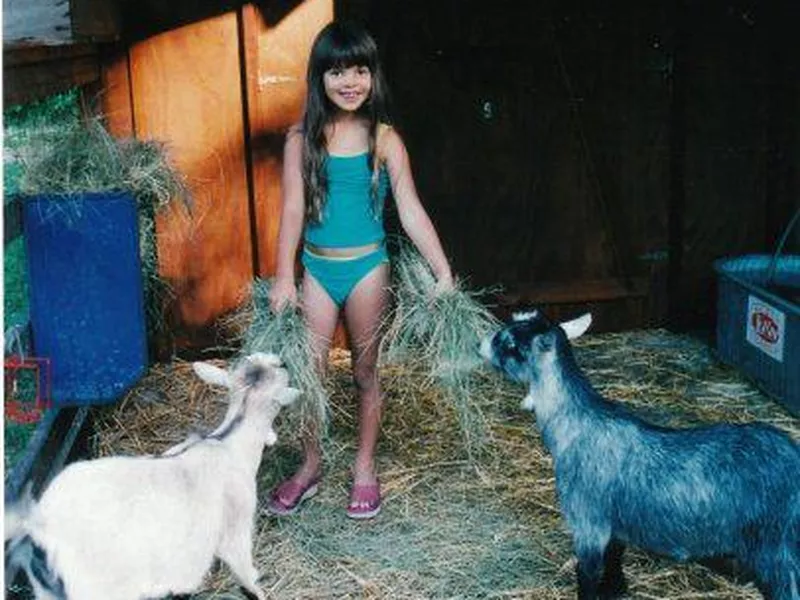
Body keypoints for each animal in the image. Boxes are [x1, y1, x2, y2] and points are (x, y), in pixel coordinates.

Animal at [482, 310, 800, 600]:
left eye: (510, 342)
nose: (482, 344)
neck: (574, 425)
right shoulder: (615, 526)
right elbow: (614, 560)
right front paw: (615, 589)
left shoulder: (588, 523)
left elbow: (587, 575)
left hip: (775, 550)